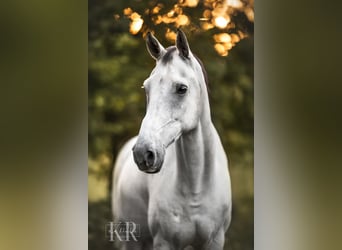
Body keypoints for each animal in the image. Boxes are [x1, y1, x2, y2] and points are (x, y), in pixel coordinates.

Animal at [113, 29, 231, 250]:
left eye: (181, 88)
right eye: (146, 88)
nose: (143, 153)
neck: (196, 188)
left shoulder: (214, 241)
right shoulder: (164, 242)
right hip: (130, 239)